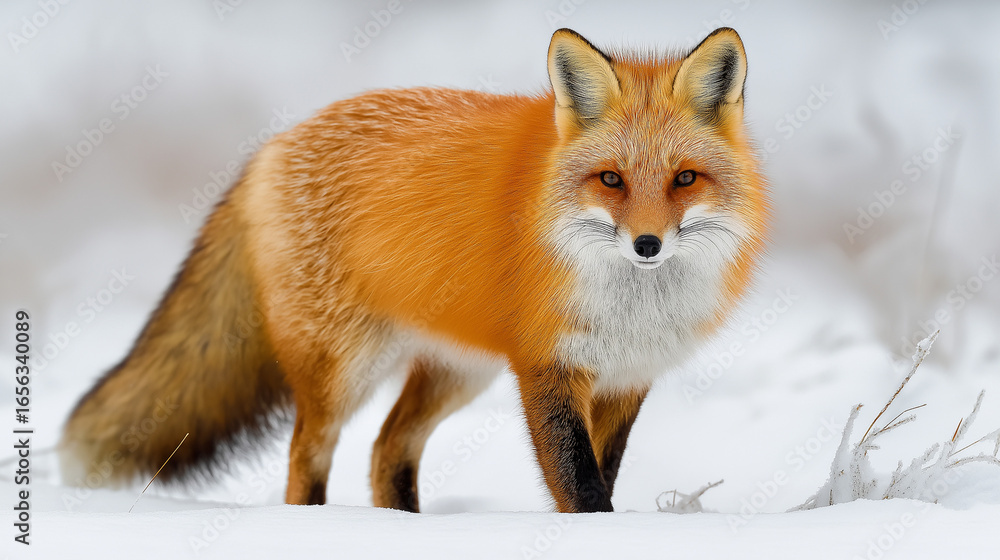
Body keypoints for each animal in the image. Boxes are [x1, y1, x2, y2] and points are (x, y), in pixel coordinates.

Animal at [60, 27, 767, 513]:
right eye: (611, 180)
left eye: (684, 179)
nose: (647, 244)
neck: (633, 304)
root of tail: (272, 147)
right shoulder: (549, 369)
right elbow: (580, 484)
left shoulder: (626, 377)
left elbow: (605, 474)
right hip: (343, 368)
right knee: (307, 453)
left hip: (458, 372)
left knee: (386, 449)